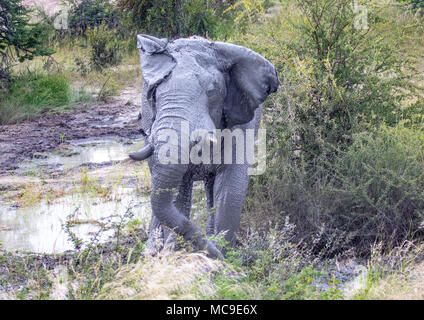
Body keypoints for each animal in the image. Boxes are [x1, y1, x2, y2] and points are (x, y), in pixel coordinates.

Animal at [131, 35, 280, 258]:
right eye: (155, 95)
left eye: (211, 91)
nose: (211, 251)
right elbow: (179, 192)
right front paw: (174, 253)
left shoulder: (241, 119)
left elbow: (230, 188)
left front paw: (222, 254)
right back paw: (152, 251)